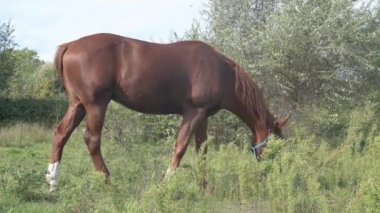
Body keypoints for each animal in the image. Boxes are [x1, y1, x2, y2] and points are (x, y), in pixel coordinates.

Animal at [44, 33, 288, 191]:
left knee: (61, 133)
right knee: (92, 139)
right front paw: (168, 181)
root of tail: (70, 45)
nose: (276, 172)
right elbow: (181, 146)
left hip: (78, 105)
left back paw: (53, 180)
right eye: (277, 143)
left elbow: (202, 150)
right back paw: (107, 181)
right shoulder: (193, 113)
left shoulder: (203, 117)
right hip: (95, 105)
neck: (222, 72)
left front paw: (204, 186)